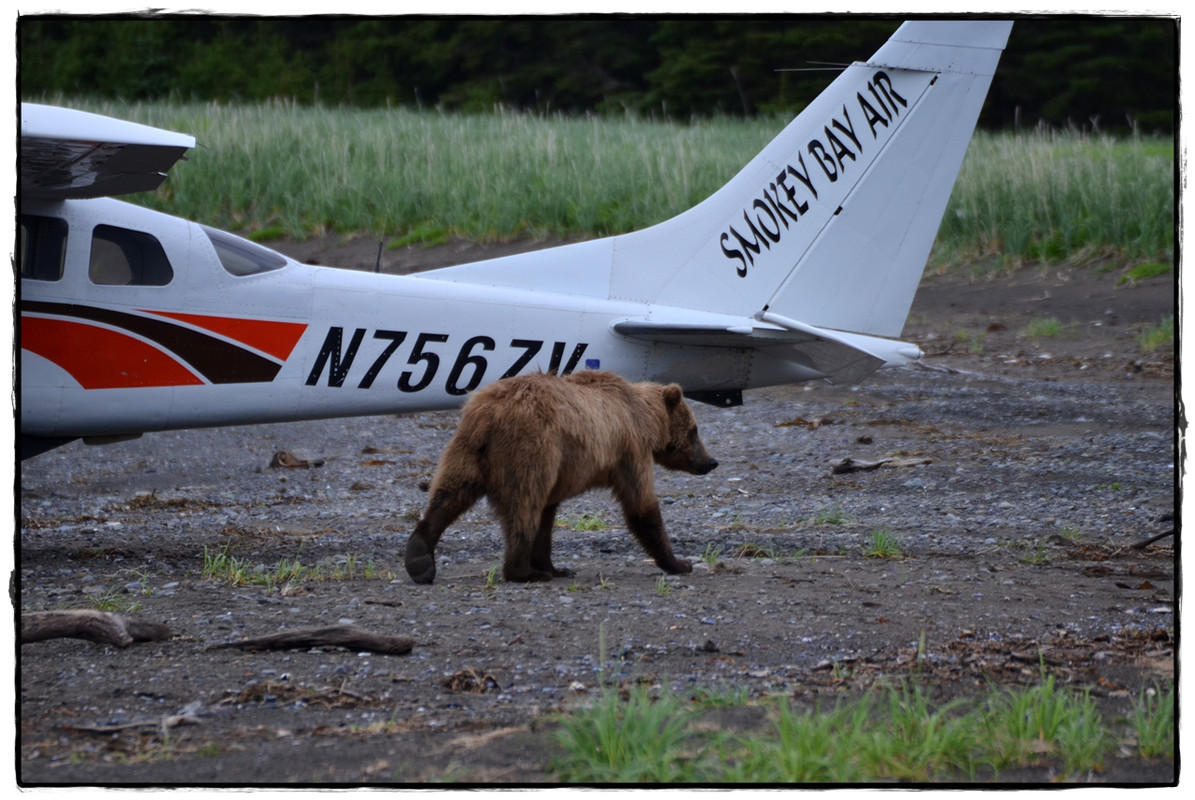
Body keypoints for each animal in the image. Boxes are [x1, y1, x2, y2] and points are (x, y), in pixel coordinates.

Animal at [406, 370, 712, 583]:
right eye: (694, 430)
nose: (711, 461)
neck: (646, 419)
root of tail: (490, 415)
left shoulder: (563, 470)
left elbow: (547, 516)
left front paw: (555, 566)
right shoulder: (629, 449)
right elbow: (641, 505)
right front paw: (679, 563)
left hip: (467, 448)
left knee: (450, 494)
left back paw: (420, 555)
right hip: (531, 448)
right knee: (523, 506)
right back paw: (522, 571)